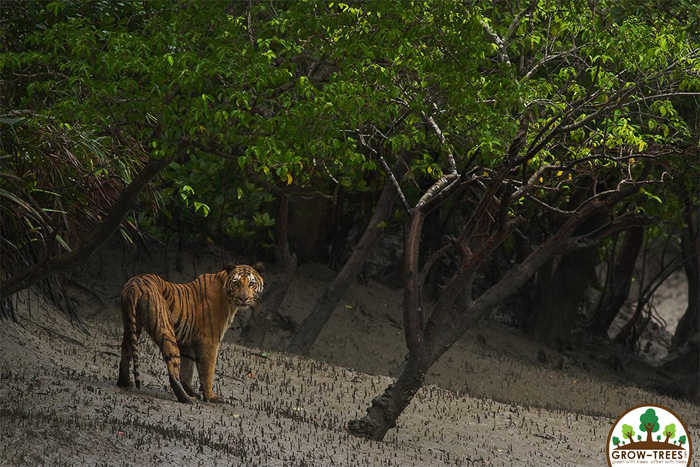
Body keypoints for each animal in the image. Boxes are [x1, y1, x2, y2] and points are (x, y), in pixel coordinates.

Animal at [117, 262, 264, 403]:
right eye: (236, 283)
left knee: (125, 353)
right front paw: (210, 397)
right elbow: (207, 371)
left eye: (251, 283)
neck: (229, 301)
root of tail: (135, 284)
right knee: (173, 370)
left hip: (131, 325)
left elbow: (187, 370)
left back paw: (125, 383)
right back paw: (187, 399)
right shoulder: (209, 341)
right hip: (166, 330)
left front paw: (192, 391)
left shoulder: (188, 344)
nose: (244, 298)